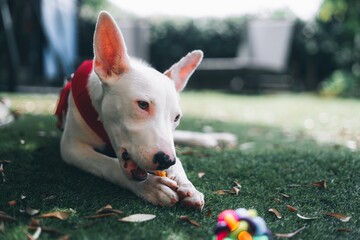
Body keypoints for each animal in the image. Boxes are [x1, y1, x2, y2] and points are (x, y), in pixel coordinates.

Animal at [54, 11, 204, 209]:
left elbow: (178, 162)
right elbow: (107, 164)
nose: (166, 160)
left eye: (176, 117)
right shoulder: (71, 147)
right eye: (142, 104)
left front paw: (189, 187)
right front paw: (151, 187)